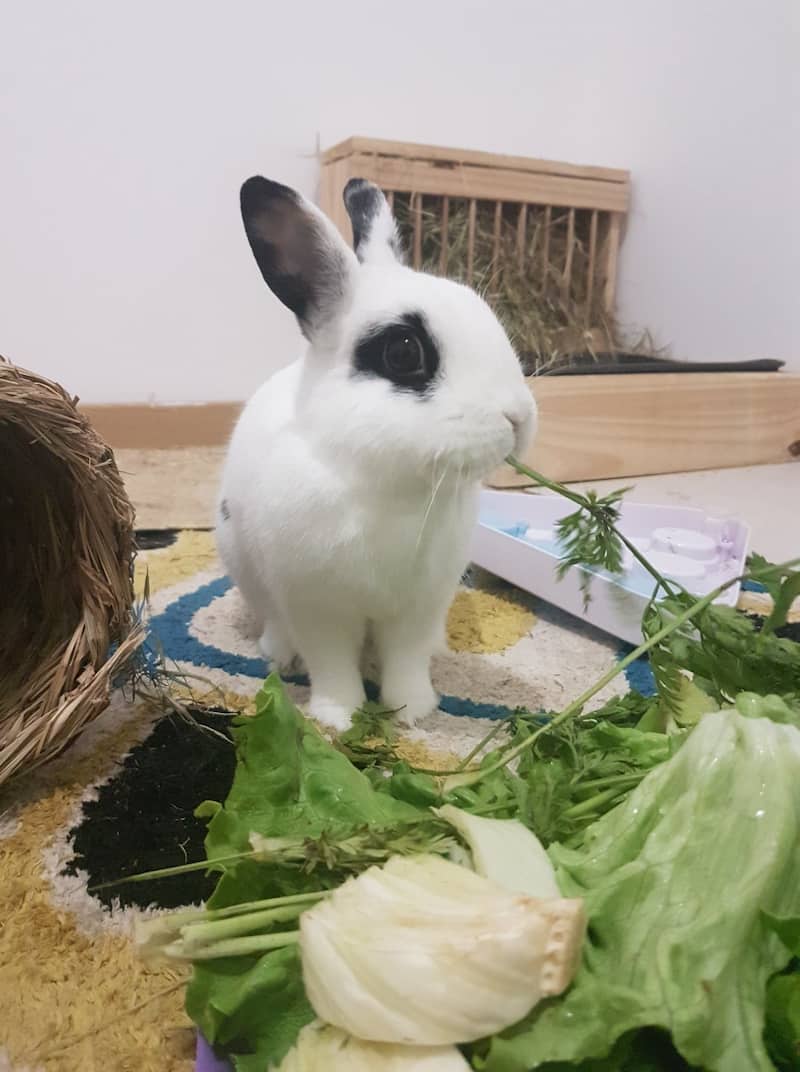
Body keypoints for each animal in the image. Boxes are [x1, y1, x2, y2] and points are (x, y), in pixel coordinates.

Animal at [216, 175, 536, 732]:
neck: (390, 486)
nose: (518, 417)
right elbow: (331, 664)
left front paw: (414, 711)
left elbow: (406, 659)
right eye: (404, 352)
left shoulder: (418, 606)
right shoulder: (318, 607)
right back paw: (279, 654)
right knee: (276, 623)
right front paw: (337, 717)